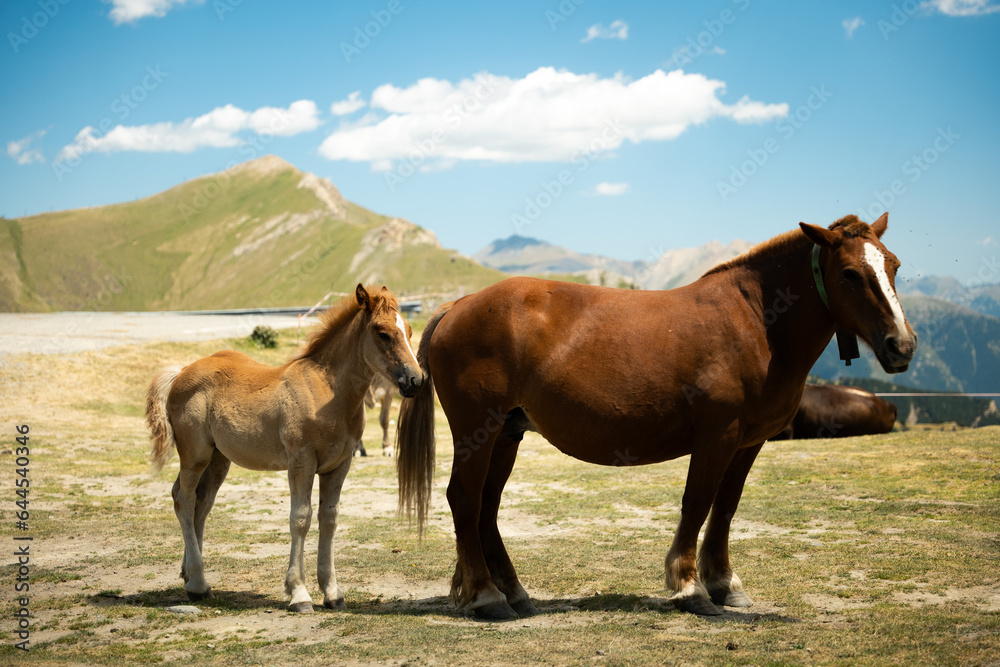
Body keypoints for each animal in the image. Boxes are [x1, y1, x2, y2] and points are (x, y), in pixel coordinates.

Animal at [145, 284, 422, 612]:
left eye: (409, 330)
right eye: (382, 333)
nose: (416, 379)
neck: (328, 391)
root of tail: (182, 371)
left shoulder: (340, 464)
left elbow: (329, 519)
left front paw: (332, 593)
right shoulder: (301, 460)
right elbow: (300, 518)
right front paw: (299, 594)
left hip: (218, 459)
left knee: (201, 504)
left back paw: (191, 578)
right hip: (195, 455)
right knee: (183, 500)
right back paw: (198, 584)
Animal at [396, 213, 916, 618]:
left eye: (893, 265)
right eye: (849, 273)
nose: (903, 345)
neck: (755, 320)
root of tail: (459, 305)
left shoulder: (749, 441)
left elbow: (726, 507)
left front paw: (724, 583)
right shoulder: (717, 436)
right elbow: (697, 503)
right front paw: (690, 586)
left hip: (507, 432)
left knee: (486, 507)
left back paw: (512, 592)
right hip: (478, 431)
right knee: (464, 499)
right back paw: (486, 597)